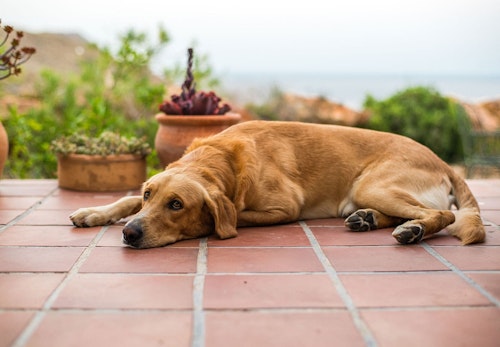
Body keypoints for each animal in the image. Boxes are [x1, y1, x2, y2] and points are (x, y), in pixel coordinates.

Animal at [69, 121, 484, 249]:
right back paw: (369, 220)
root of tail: (442, 161)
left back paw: (413, 230)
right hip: (366, 193)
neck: (222, 159)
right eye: (149, 195)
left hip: (372, 185)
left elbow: (230, 214)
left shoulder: (284, 208)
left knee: (442, 215)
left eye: (176, 205)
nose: (130, 234)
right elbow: (125, 199)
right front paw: (95, 211)